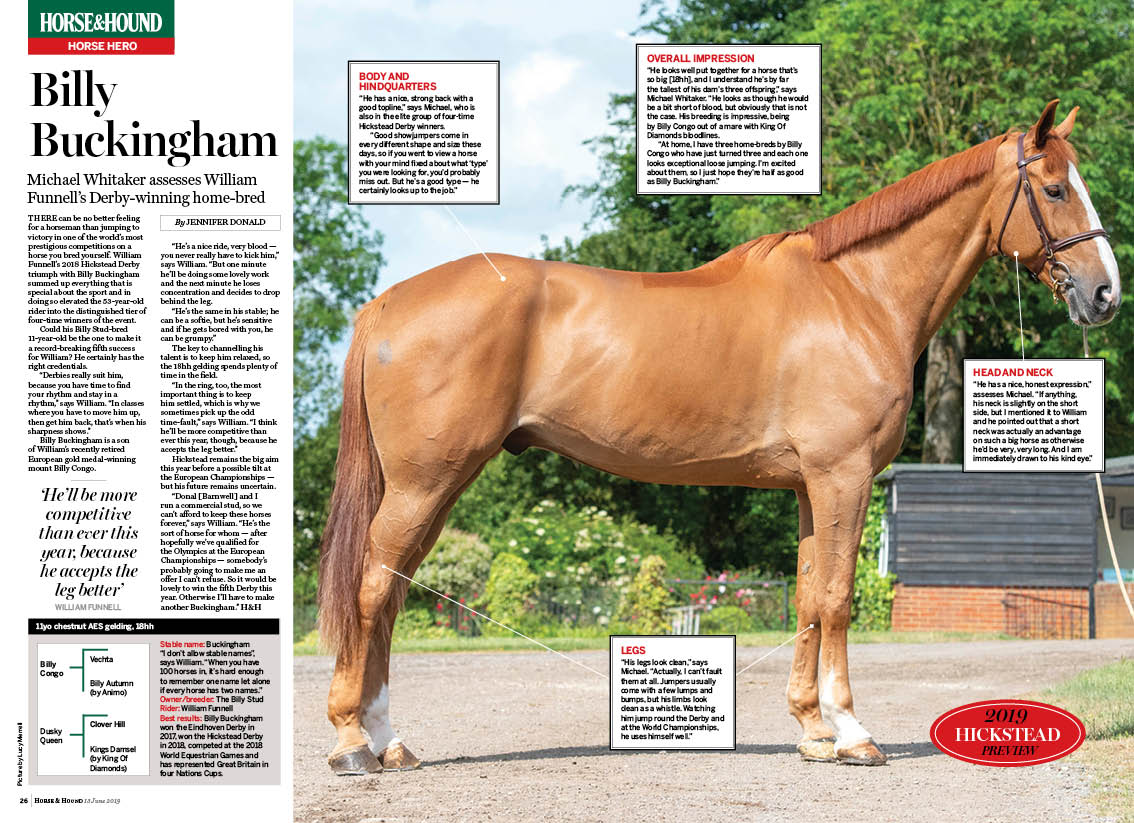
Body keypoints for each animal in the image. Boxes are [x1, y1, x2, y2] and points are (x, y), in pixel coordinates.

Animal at [317, 100, 1121, 774]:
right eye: (1055, 189)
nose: (1105, 293)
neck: (857, 295)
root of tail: (388, 302)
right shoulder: (843, 475)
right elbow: (837, 597)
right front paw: (852, 733)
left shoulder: (809, 486)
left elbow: (806, 596)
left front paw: (812, 730)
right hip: (426, 482)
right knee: (371, 590)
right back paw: (356, 742)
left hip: (432, 485)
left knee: (390, 590)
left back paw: (391, 742)